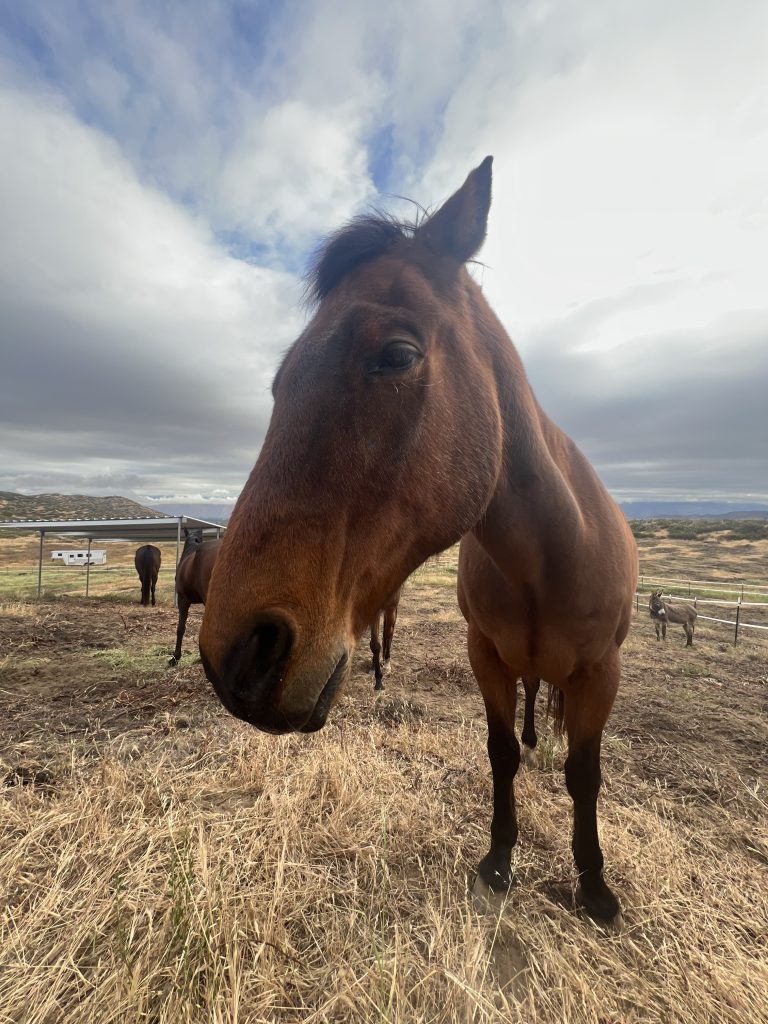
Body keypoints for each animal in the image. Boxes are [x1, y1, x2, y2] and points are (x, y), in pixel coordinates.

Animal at [199, 157, 638, 924]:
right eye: (281, 381)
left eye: (397, 355)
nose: (236, 655)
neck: (548, 556)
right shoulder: (486, 658)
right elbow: (501, 753)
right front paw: (499, 860)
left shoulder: (599, 674)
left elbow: (585, 775)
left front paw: (594, 887)